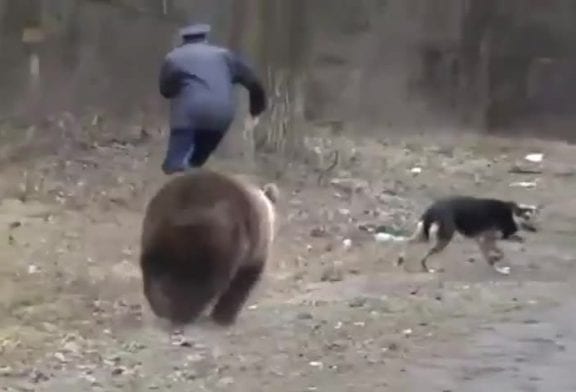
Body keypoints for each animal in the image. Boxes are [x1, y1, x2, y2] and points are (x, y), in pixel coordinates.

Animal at [140, 170, 280, 326]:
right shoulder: (254, 248)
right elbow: (242, 282)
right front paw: (224, 316)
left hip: (157, 230)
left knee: (154, 270)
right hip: (217, 240)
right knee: (202, 282)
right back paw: (184, 313)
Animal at [396, 196, 540, 276]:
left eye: (535, 217)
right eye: (527, 217)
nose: (536, 229)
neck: (512, 214)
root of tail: (434, 207)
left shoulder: (485, 240)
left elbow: (495, 254)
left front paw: (495, 264)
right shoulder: (485, 239)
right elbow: (498, 255)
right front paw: (498, 266)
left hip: (424, 234)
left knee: (408, 241)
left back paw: (401, 259)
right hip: (444, 238)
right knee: (423, 256)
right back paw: (427, 269)